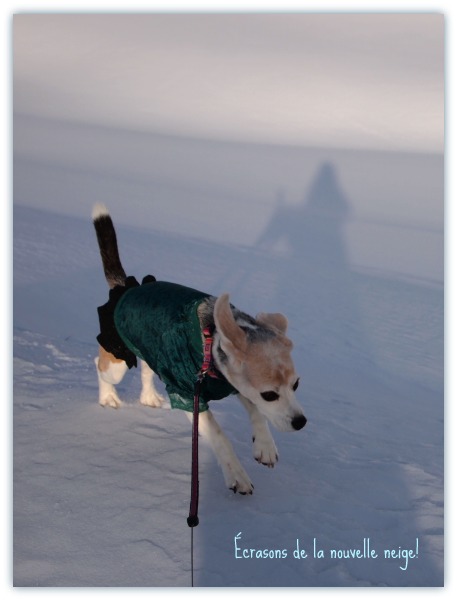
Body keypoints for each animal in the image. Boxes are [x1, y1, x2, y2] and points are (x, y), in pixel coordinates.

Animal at [92, 204, 306, 494]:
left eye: (296, 385)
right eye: (270, 395)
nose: (300, 422)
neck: (211, 342)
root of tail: (126, 286)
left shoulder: (233, 384)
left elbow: (255, 412)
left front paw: (265, 446)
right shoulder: (188, 395)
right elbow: (219, 435)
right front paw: (237, 474)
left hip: (151, 351)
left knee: (147, 370)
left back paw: (148, 397)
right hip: (117, 361)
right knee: (100, 366)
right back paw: (108, 397)